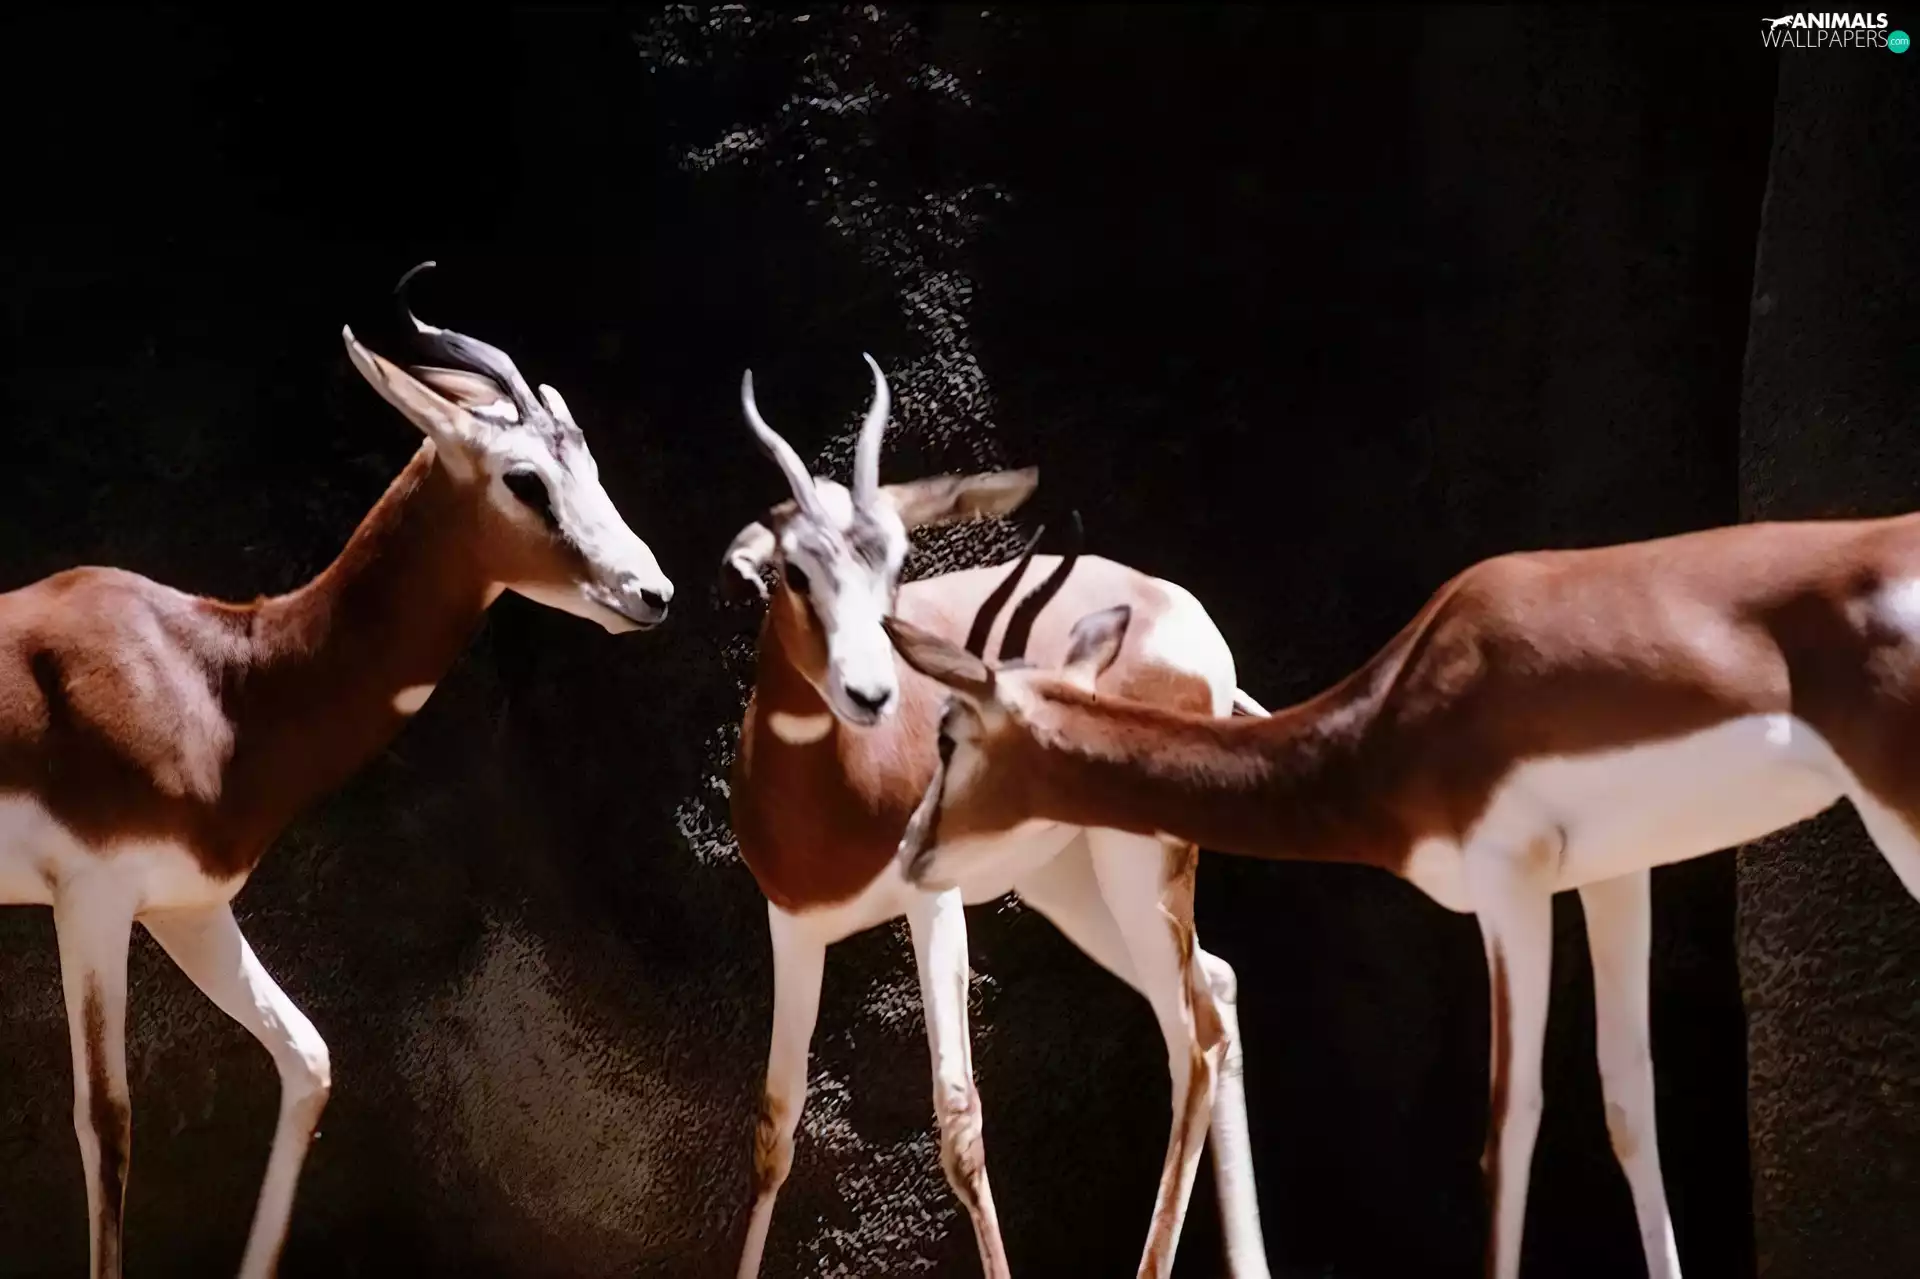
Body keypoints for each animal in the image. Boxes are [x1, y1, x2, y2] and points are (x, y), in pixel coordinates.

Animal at [0, 264, 673, 1279]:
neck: (218, 679)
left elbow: (310, 1060)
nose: (652, 592)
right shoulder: (92, 899)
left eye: (590, 465)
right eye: (524, 479)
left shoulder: (187, 906)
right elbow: (109, 1127)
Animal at [721, 357, 1272, 1278]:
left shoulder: (931, 901)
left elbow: (959, 1119)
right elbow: (774, 1126)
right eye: (796, 571)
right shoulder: (791, 921)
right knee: (1219, 986)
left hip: (1135, 861)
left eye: (896, 566)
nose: (872, 692)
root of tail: (1183, 615)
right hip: (1068, 883)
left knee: (1192, 1035)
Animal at [882, 512, 1920, 1279]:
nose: (909, 852)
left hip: (1898, 811)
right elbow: (1631, 1108)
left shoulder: (1508, 879)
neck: (1396, 714)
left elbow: (1509, 1132)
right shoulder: (1614, 873)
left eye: (947, 735)